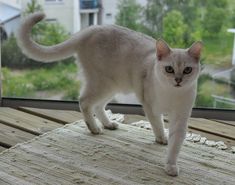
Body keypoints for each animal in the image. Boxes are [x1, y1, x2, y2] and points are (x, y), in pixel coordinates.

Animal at [17, 12, 203, 176]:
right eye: (169, 69)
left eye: (187, 70)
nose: (178, 80)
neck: (171, 94)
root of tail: (91, 29)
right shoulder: (151, 107)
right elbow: (157, 125)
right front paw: (161, 139)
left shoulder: (180, 118)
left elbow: (175, 145)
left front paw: (171, 166)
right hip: (103, 84)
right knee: (84, 102)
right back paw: (94, 129)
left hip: (112, 86)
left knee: (98, 106)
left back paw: (108, 124)